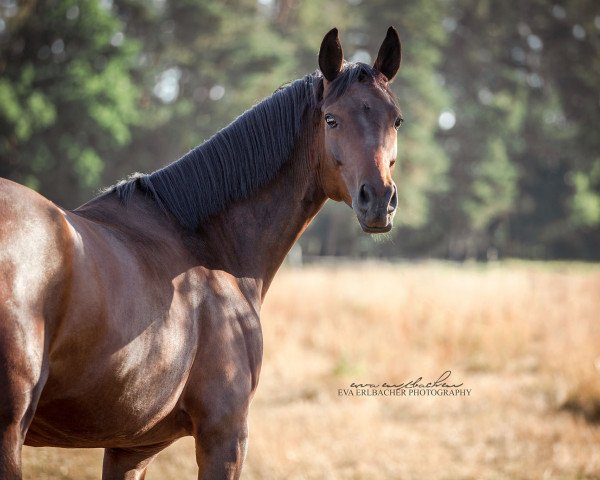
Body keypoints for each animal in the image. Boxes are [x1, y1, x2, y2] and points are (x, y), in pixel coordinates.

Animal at [0, 27, 404, 480]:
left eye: (396, 119)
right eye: (331, 119)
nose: (379, 201)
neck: (207, 249)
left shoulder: (131, 447)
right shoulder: (224, 436)